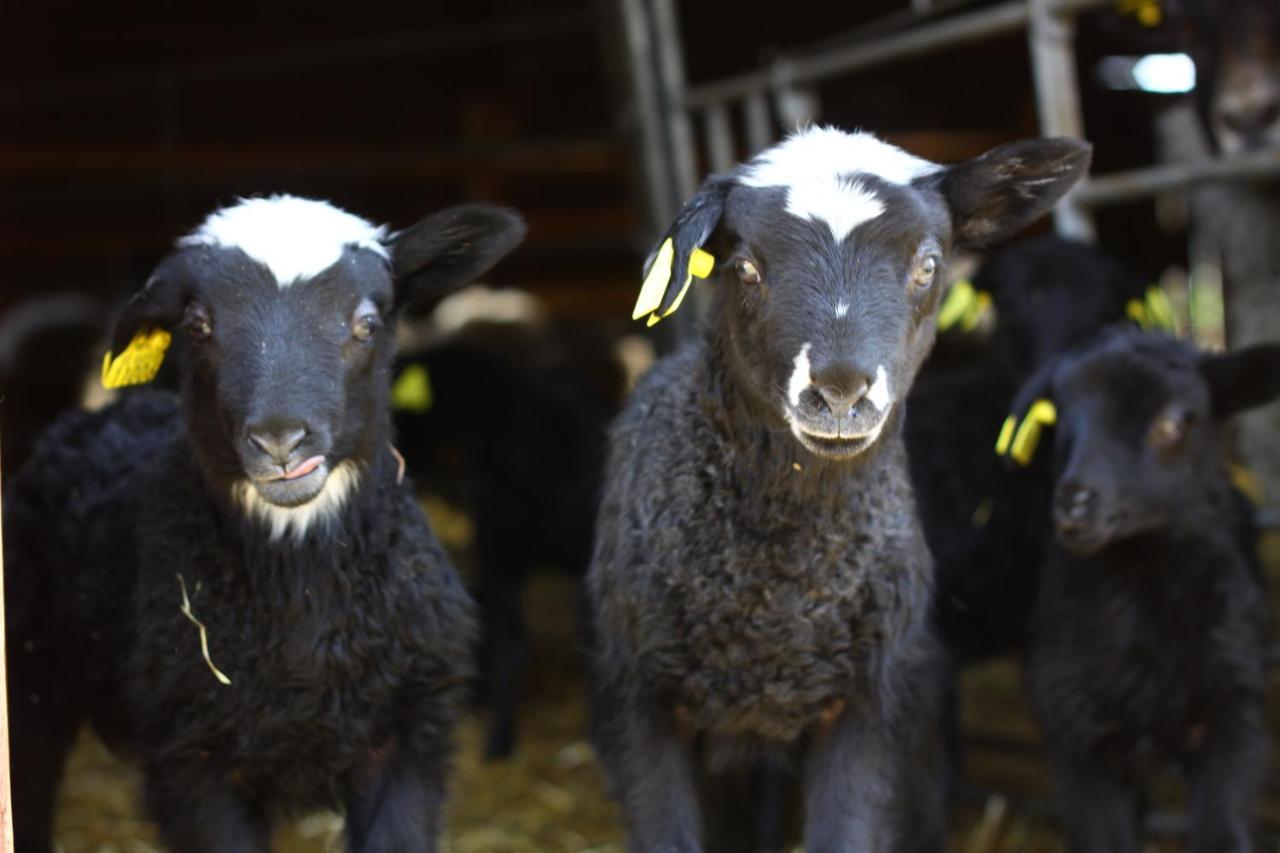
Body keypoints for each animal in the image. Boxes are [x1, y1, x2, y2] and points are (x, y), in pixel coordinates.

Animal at [5, 194, 524, 850]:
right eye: (198, 326)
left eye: (366, 322)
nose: (281, 440)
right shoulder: (192, 761)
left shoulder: (410, 735)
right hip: (28, 675)